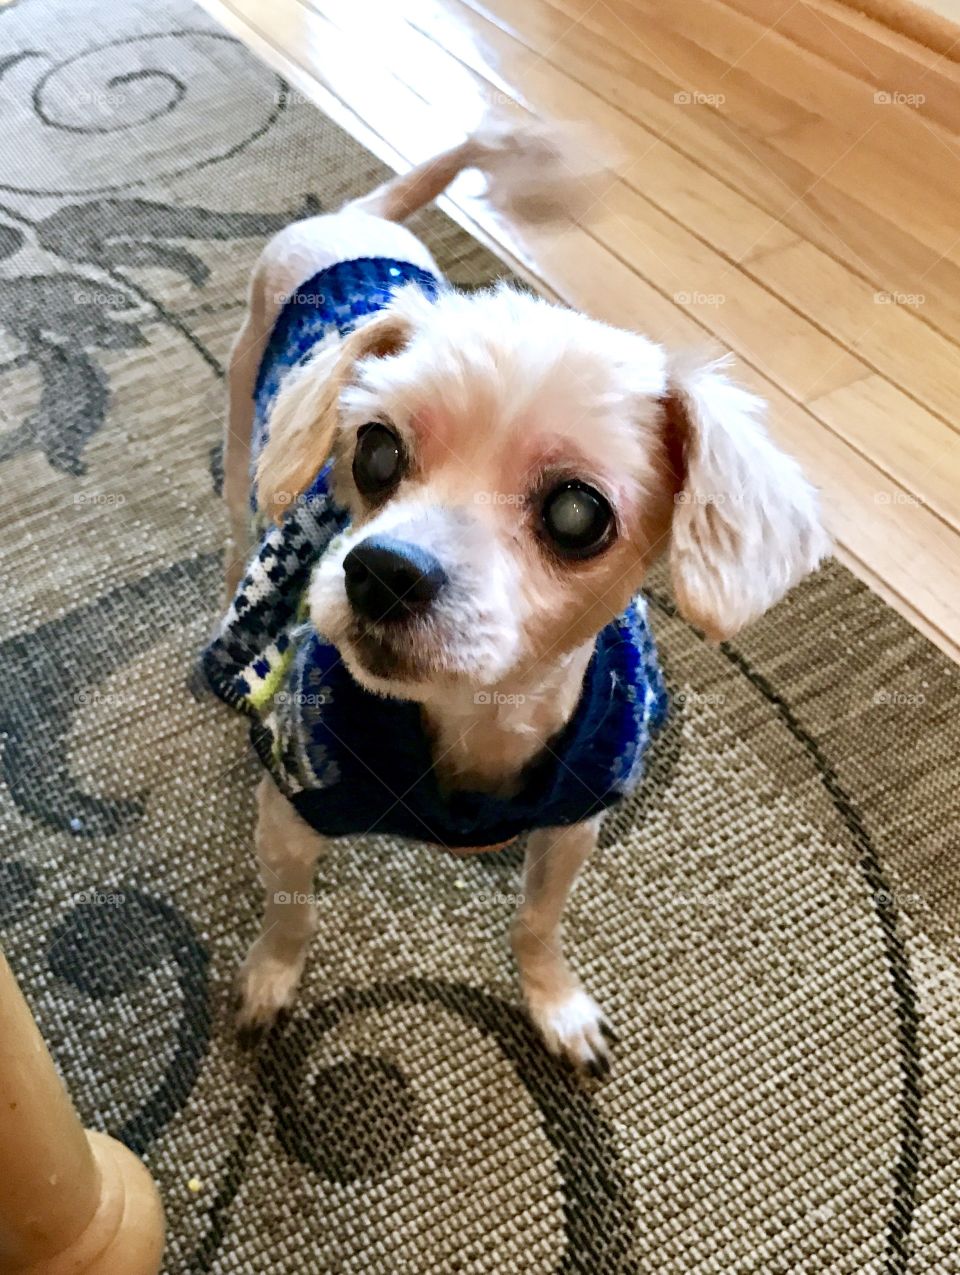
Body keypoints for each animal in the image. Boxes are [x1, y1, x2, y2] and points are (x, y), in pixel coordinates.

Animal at [207, 119, 826, 1076]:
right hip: (247, 419)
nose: (380, 569)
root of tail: (357, 218)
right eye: (374, 450)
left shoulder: (573, 825)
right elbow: (289, 915)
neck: (476, 722)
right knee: (245, 509)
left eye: (577, 514)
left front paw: (556, 1004)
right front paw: (270, 981)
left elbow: (538, 923)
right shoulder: (291, 809)